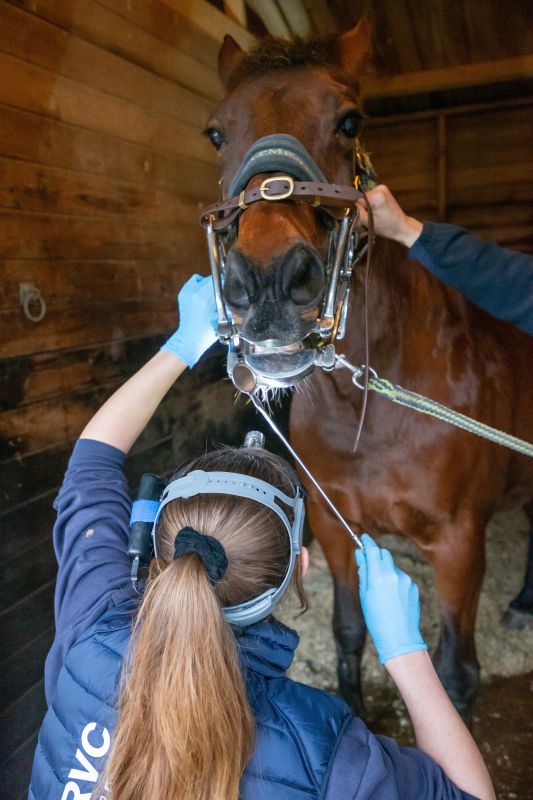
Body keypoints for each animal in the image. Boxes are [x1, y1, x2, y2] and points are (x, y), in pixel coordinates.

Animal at [203, 21, 533, 719]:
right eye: (216, 132)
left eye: (350, 120)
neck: (369, 407)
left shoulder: (459, 544)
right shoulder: (334, 528)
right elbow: (349, 632)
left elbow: (455, 670)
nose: (268, 281)